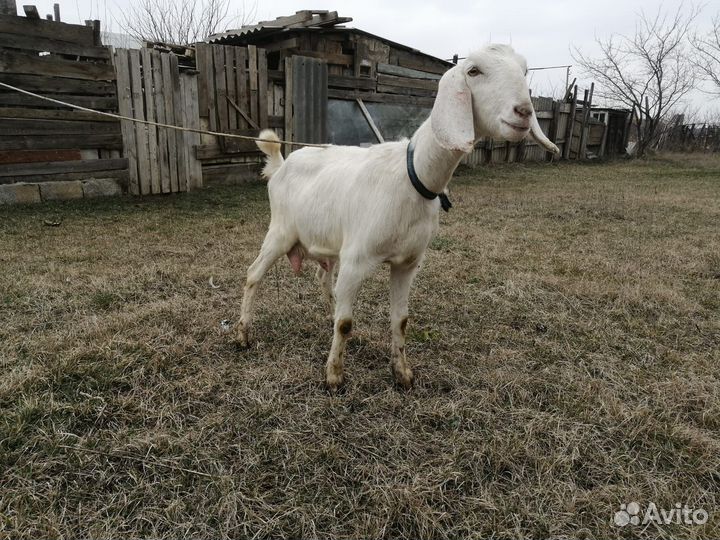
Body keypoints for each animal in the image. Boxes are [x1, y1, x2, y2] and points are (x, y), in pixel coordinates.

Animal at [236, 44, 559, 391]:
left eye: (524, 71)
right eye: (473, 71)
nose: (523, 112)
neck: (412, 175)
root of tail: (280, 165)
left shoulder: (408, 263)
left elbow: (400, 320)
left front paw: (402, 373)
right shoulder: (357, 259)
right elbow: (346, 323)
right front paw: (334, 376)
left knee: (323, 278)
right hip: (280, 232)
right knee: (254, 274)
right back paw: (243, 335)